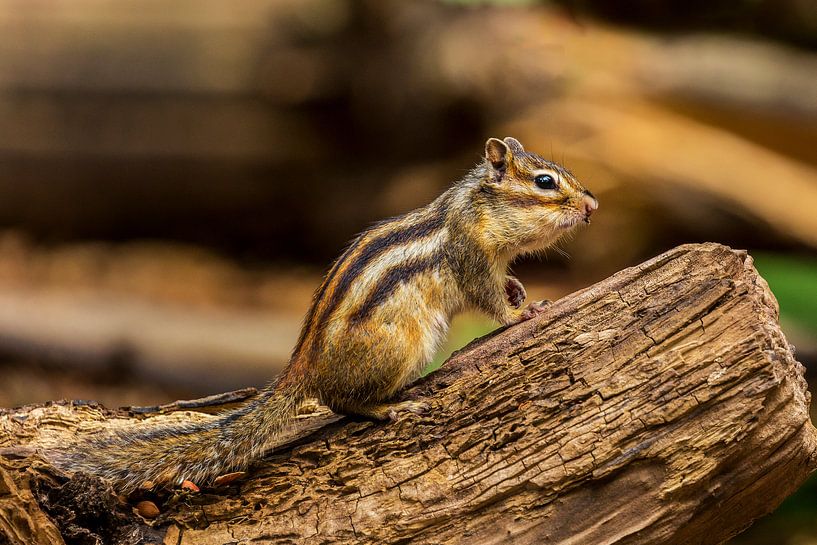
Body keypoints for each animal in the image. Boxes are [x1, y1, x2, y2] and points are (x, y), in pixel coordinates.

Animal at [47, 136, 598, 493]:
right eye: (545, 182)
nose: (592, 206)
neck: (476, 210)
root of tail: (303, 367)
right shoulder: (471, 259)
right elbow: (488, 301)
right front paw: (522, 314)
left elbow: (503, 286)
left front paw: (521, 290)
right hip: (401, 346)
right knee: (340, 401)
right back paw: (388, 409)